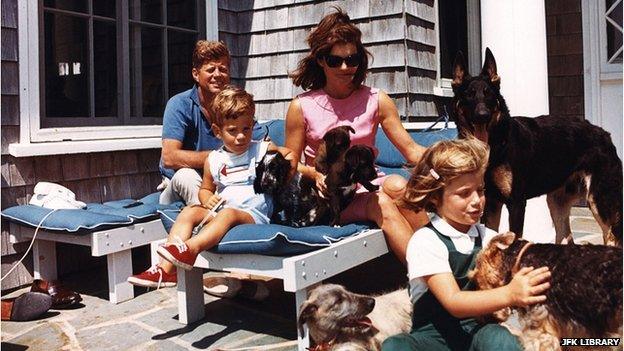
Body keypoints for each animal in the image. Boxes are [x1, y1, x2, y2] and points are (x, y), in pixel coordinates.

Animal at [450, 48, 620, 246]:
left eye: (489, 94)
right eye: (469, 94)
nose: (482, 115)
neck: (497, 144)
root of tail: (605, 134)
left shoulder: (516, 203)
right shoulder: (491, 203)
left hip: (599, 201)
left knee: (611, 237)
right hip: (556, 202)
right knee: (566, 237)